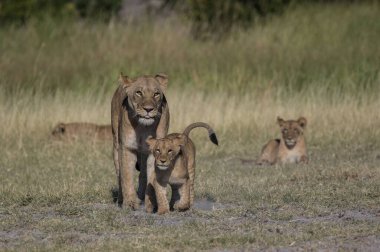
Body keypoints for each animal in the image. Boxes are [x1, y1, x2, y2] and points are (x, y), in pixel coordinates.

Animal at [110, 72, 169, 209]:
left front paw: (152, 202)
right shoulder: (127, 148)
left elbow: (151, 177)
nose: (148, 109)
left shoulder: (155, 151)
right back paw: (121, 199)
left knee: (143, 174)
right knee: (119, 173)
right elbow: (126, 176)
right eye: (139, 93)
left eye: (156, 94)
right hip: (116, 145)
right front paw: (130, 203)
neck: (143, 127)